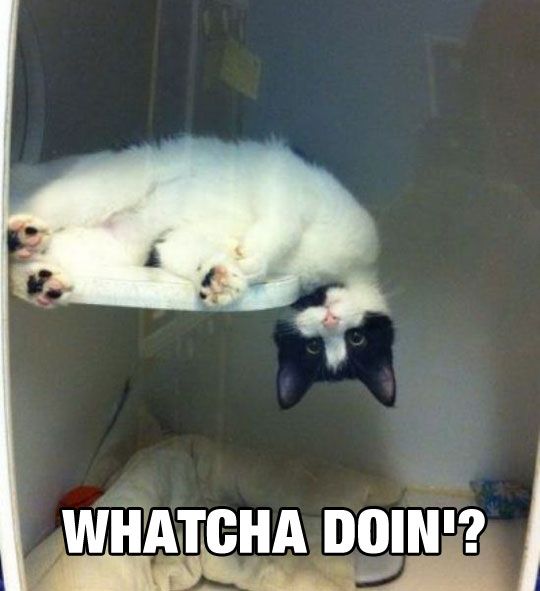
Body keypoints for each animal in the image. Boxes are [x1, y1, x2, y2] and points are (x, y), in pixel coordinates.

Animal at [6, 136, 396, 410]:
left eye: (350, 341)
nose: (330, 319)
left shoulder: (178, 242)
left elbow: (183, 252)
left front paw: (220, 279)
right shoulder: (290, 179)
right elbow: (283, 223)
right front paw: (253, 256)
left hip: (109, 245)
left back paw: (38, 275)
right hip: (101, 189)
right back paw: (22, 233)